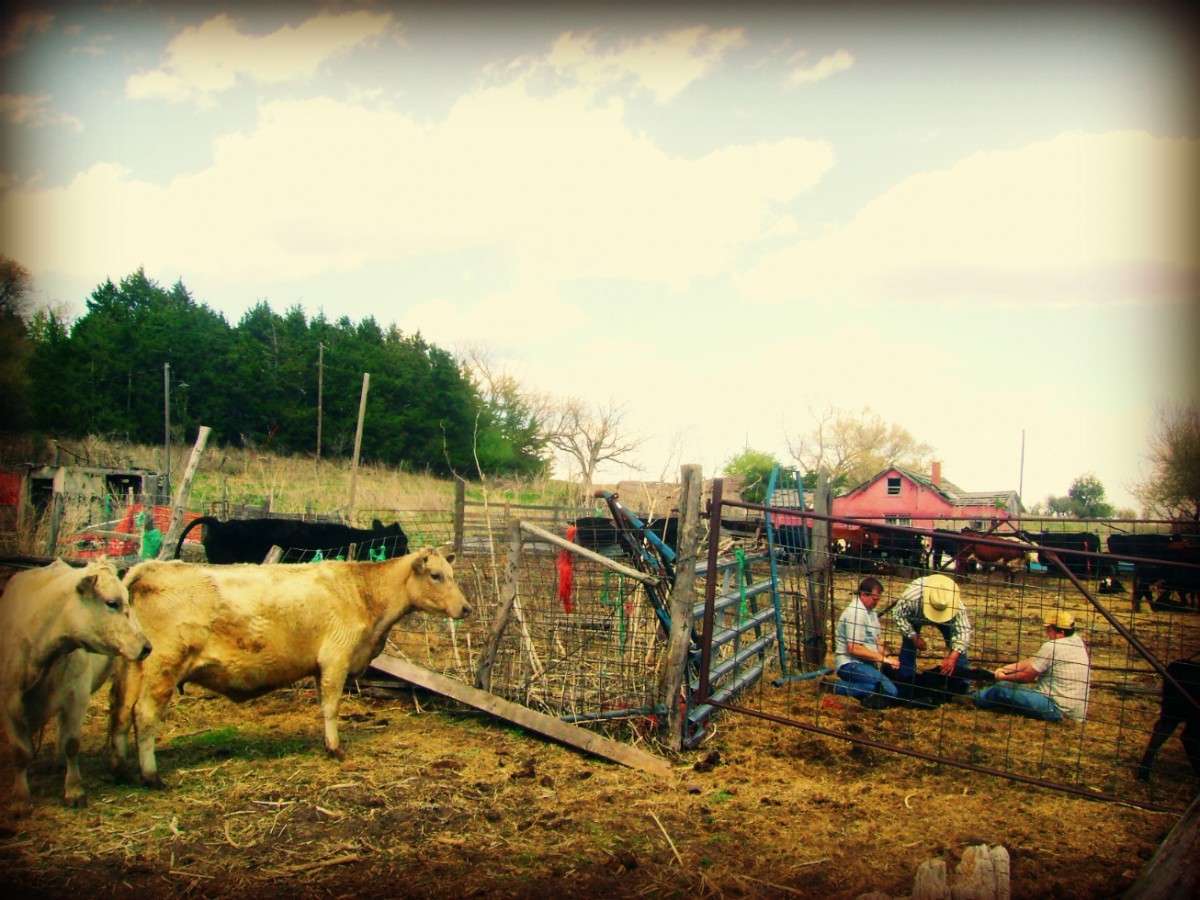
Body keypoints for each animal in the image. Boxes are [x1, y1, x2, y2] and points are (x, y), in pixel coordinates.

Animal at [0, 556, 152, 816]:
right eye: (111, 602)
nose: (146, 647)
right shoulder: (8, 702)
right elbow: (20, 752)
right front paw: (20, 799)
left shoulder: (77, 696)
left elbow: (71, 744)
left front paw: (74, 790)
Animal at [110, 547, 470, 787]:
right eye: (436, 576)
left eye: (453, 575)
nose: (466, 608)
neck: (361, 592)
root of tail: (152, 568)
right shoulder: (336, 657)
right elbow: (331, 707)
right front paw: (335, 749)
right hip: (163, 665)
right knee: (144, 714)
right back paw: (151, 776)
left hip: (133, 666)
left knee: (120, 711)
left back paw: (123, 771)